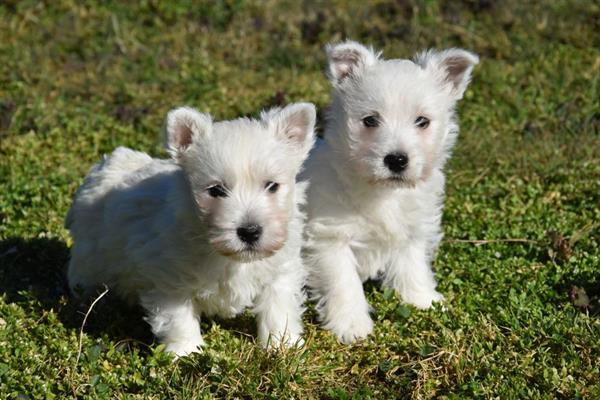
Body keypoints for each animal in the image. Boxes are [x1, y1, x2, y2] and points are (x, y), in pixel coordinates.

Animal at [66, 101, 318, 354]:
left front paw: (283, 347)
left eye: (272, 186)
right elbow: (179, 319)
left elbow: (278, 309)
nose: (250, 232)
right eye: (215, 190)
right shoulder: (170, 281)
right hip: (90, 255)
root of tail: (108, 162)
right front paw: (187, 352)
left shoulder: (280, 272)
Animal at [302, 39, 480, 344]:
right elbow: (343, 283)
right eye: (370, 120)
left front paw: (423, 300)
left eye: (422, 121)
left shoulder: (411, 231)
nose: (396, 160)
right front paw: (351, 324)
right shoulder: (330, 240)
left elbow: (413, 266)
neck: (382, 192)